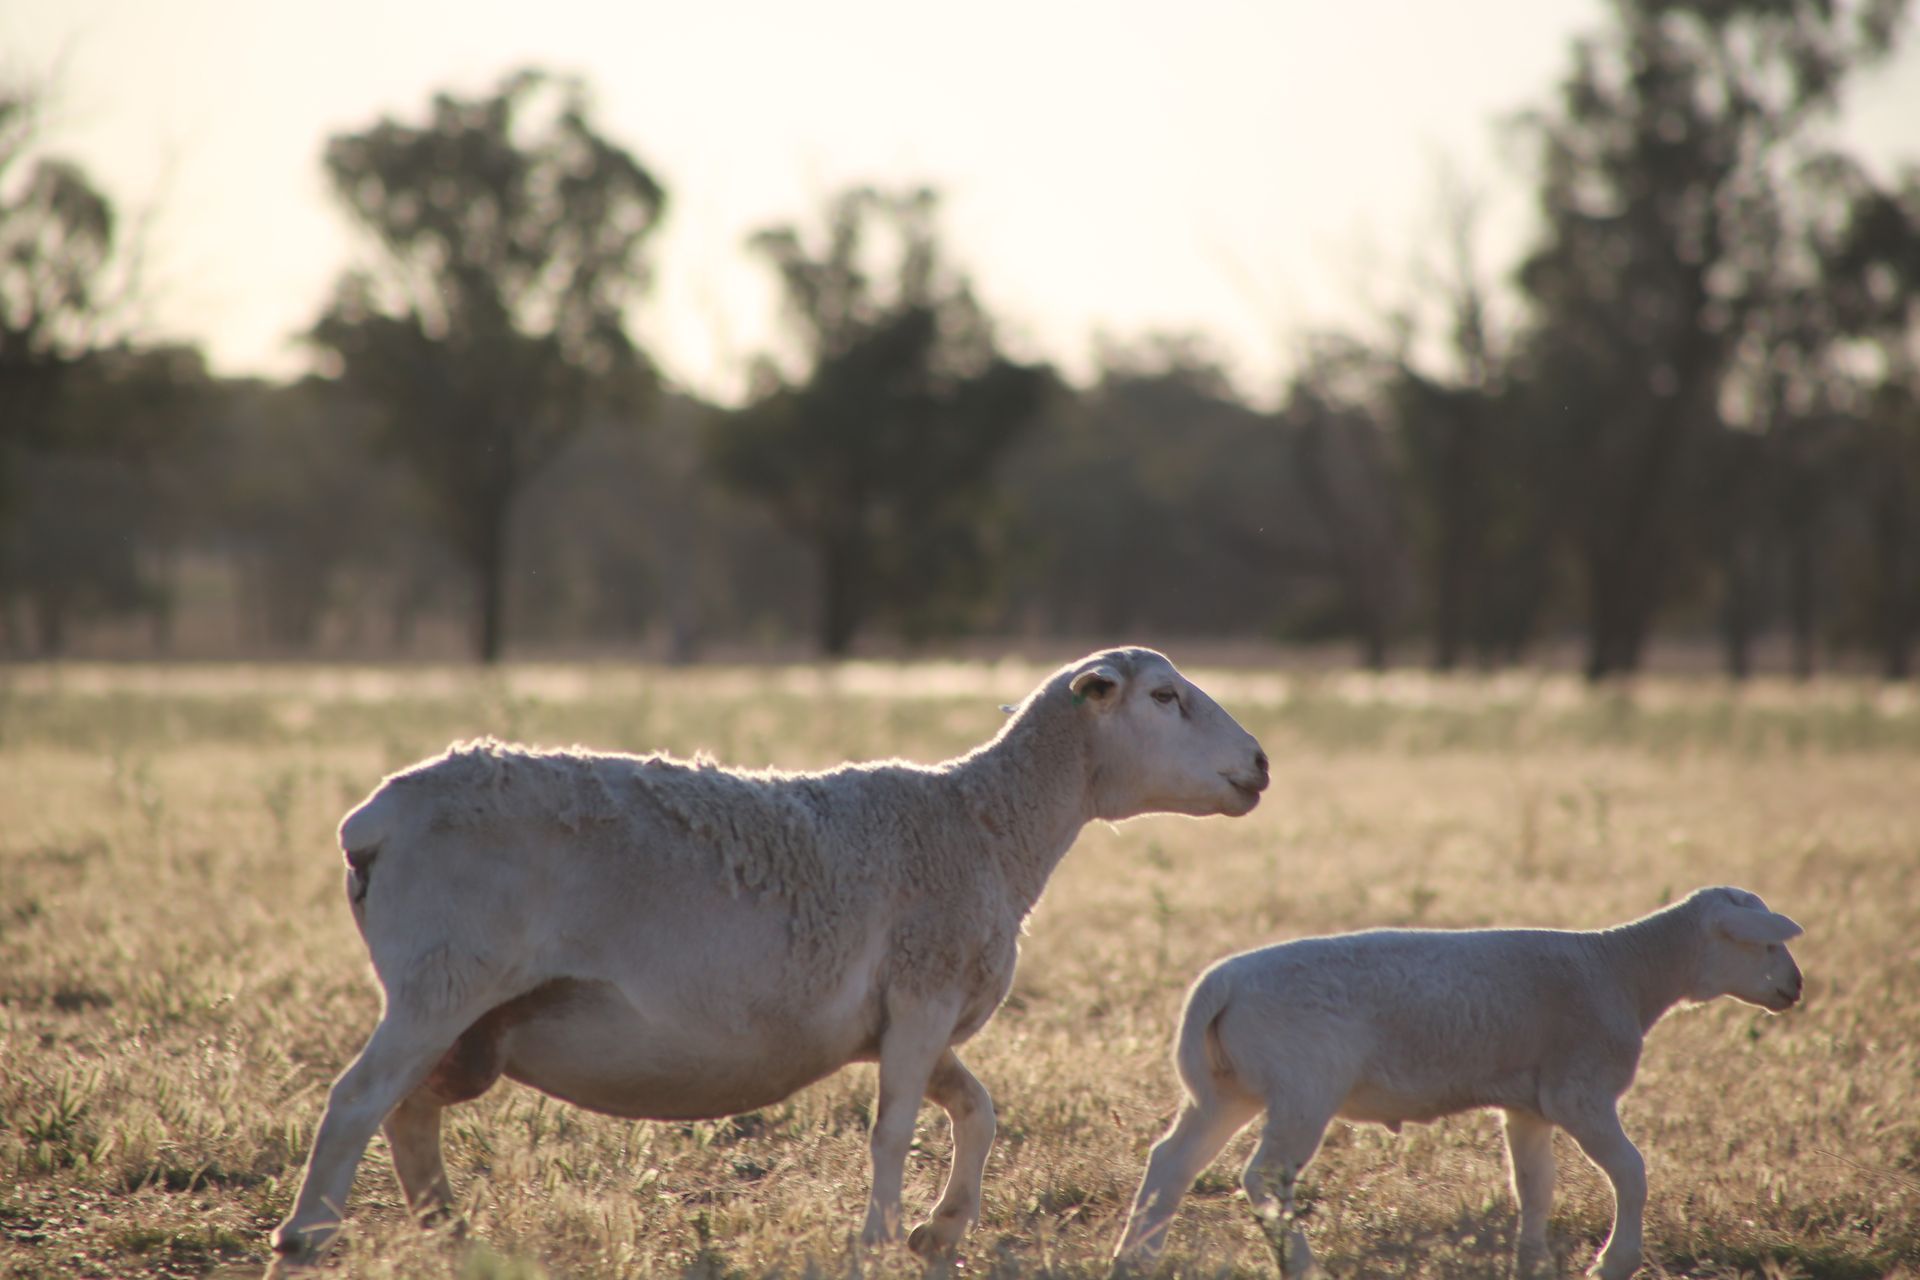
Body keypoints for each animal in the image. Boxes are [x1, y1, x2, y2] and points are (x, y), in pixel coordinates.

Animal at [266, 652, 1259, 1274]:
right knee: (357, 1102)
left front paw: (939, 1232)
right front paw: (879, 1237)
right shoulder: (923, 994)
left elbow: (977, 1110)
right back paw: (305, 1240)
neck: (985, 824)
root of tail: (372, 822)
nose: (1260, 765)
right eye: (1164, 698)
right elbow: (895, 1128)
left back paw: (450, 1232)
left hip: (465, 1014)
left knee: (409, 1114)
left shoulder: (912, 1018)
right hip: (439, 984)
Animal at [1121, 890, 1804, 1280]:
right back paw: (1303, 1268)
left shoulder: (1529, 1107)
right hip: (1303, 1086)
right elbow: (1632, 1171)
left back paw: (1133, 1260)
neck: (1625, 970)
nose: (1795, 988)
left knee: (1171, 1163)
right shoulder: (1579, 1092)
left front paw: (1534, 1265)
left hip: (1225, 1090)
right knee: (1263, 1177)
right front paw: (1613, 1263)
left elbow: (1535, 1187)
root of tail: (1220, 984)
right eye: (1764, 942)